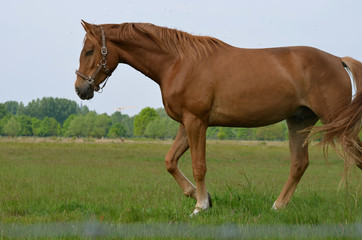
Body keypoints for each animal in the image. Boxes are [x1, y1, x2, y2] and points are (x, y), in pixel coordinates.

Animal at [75, 20, 360, 216]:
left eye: (89, 51)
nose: (80, 89)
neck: (178, 62)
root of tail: (338, 60)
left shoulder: (196, 121)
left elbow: (199, 165)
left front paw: (200, 206)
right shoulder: (186, 123)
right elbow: (170, 161)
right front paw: (201, 197)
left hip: (336, 122)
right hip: (300, 122)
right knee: (299, 165)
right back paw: (278, 206)